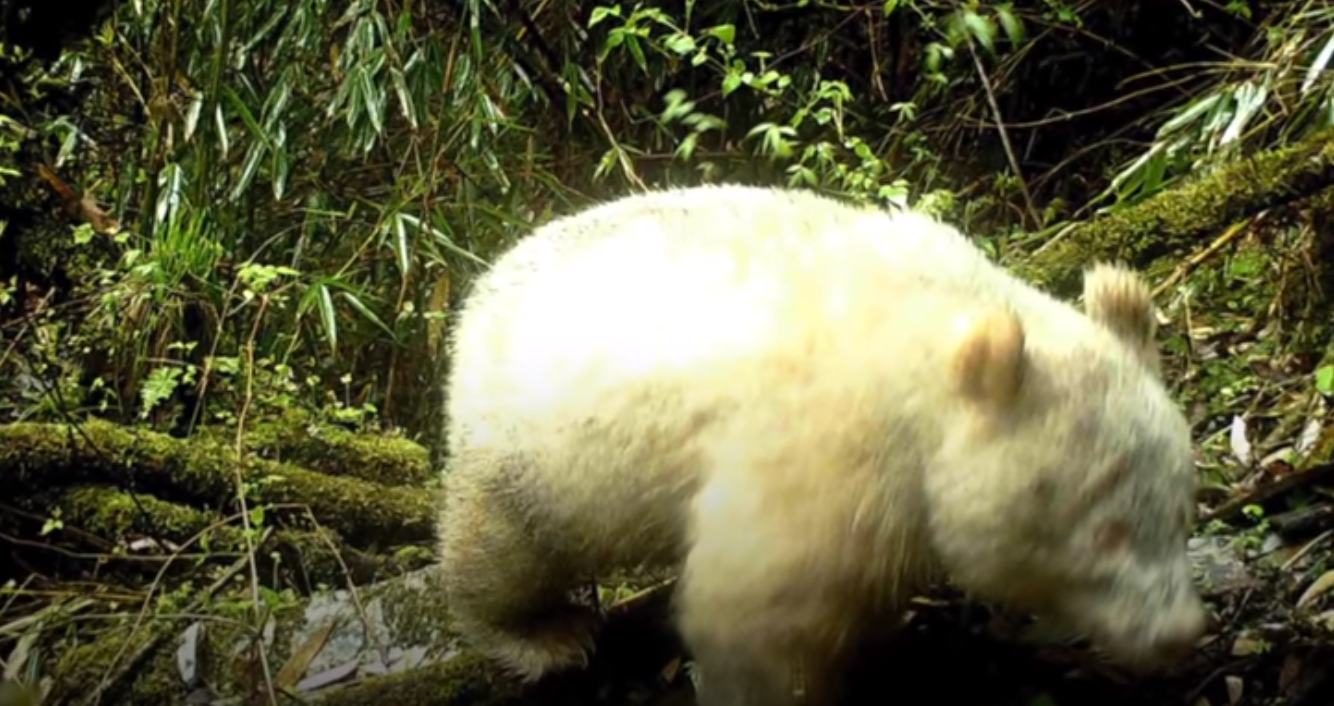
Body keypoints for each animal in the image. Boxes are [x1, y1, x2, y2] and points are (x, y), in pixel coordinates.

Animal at [437, 182, 1211, 704]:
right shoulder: (827, 449)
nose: (1179, 632)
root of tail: (484, 287)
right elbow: (756, 611)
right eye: (1106, 532)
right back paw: (543, 635)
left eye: (1181, 512)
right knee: (504, 548)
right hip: (534, 443)